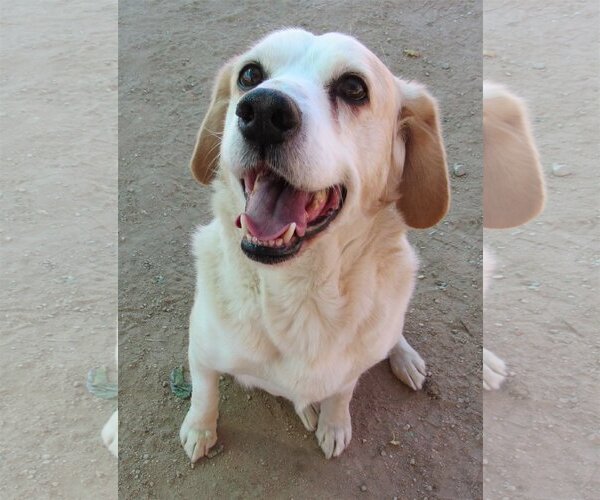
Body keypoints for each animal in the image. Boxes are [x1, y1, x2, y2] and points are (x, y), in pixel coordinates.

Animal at [180, 29, 448, 460]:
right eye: (250, 74)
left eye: (353, 87)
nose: (263, 111)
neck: (299, 292)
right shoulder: (201, 349)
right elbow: (204, 395)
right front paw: (199, 429)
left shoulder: (348, 371)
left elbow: (341, 394)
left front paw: (334, 424)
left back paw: (403, 357)